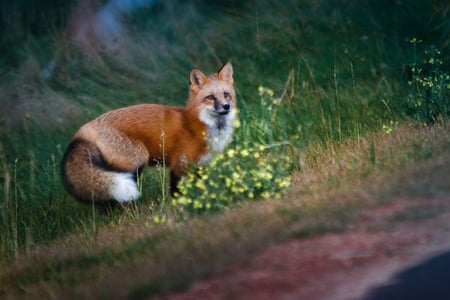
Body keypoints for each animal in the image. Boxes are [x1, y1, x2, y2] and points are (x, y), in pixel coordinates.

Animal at [61, 62, 237, 205]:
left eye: (226, 95)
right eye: (210, 97)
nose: (226, 106)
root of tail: (84, 129)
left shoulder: (202, 164)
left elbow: (201, 187)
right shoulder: (179, 164)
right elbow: (177, 191)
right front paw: (179, 207)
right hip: (135, 162)